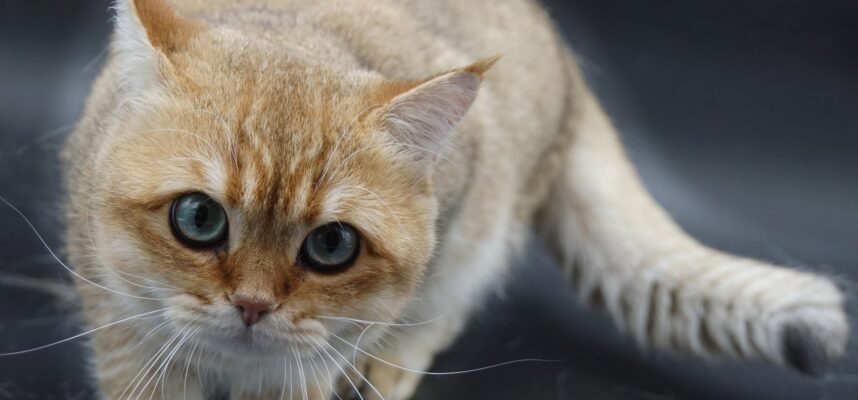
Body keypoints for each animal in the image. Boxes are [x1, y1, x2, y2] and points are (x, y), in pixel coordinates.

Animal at [61, 0, 848, 400]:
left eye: (331, 245)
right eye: (199, 218)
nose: (253, 305)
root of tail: (569, 69)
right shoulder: (119, 324)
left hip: (482, 229)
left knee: (443, 311)